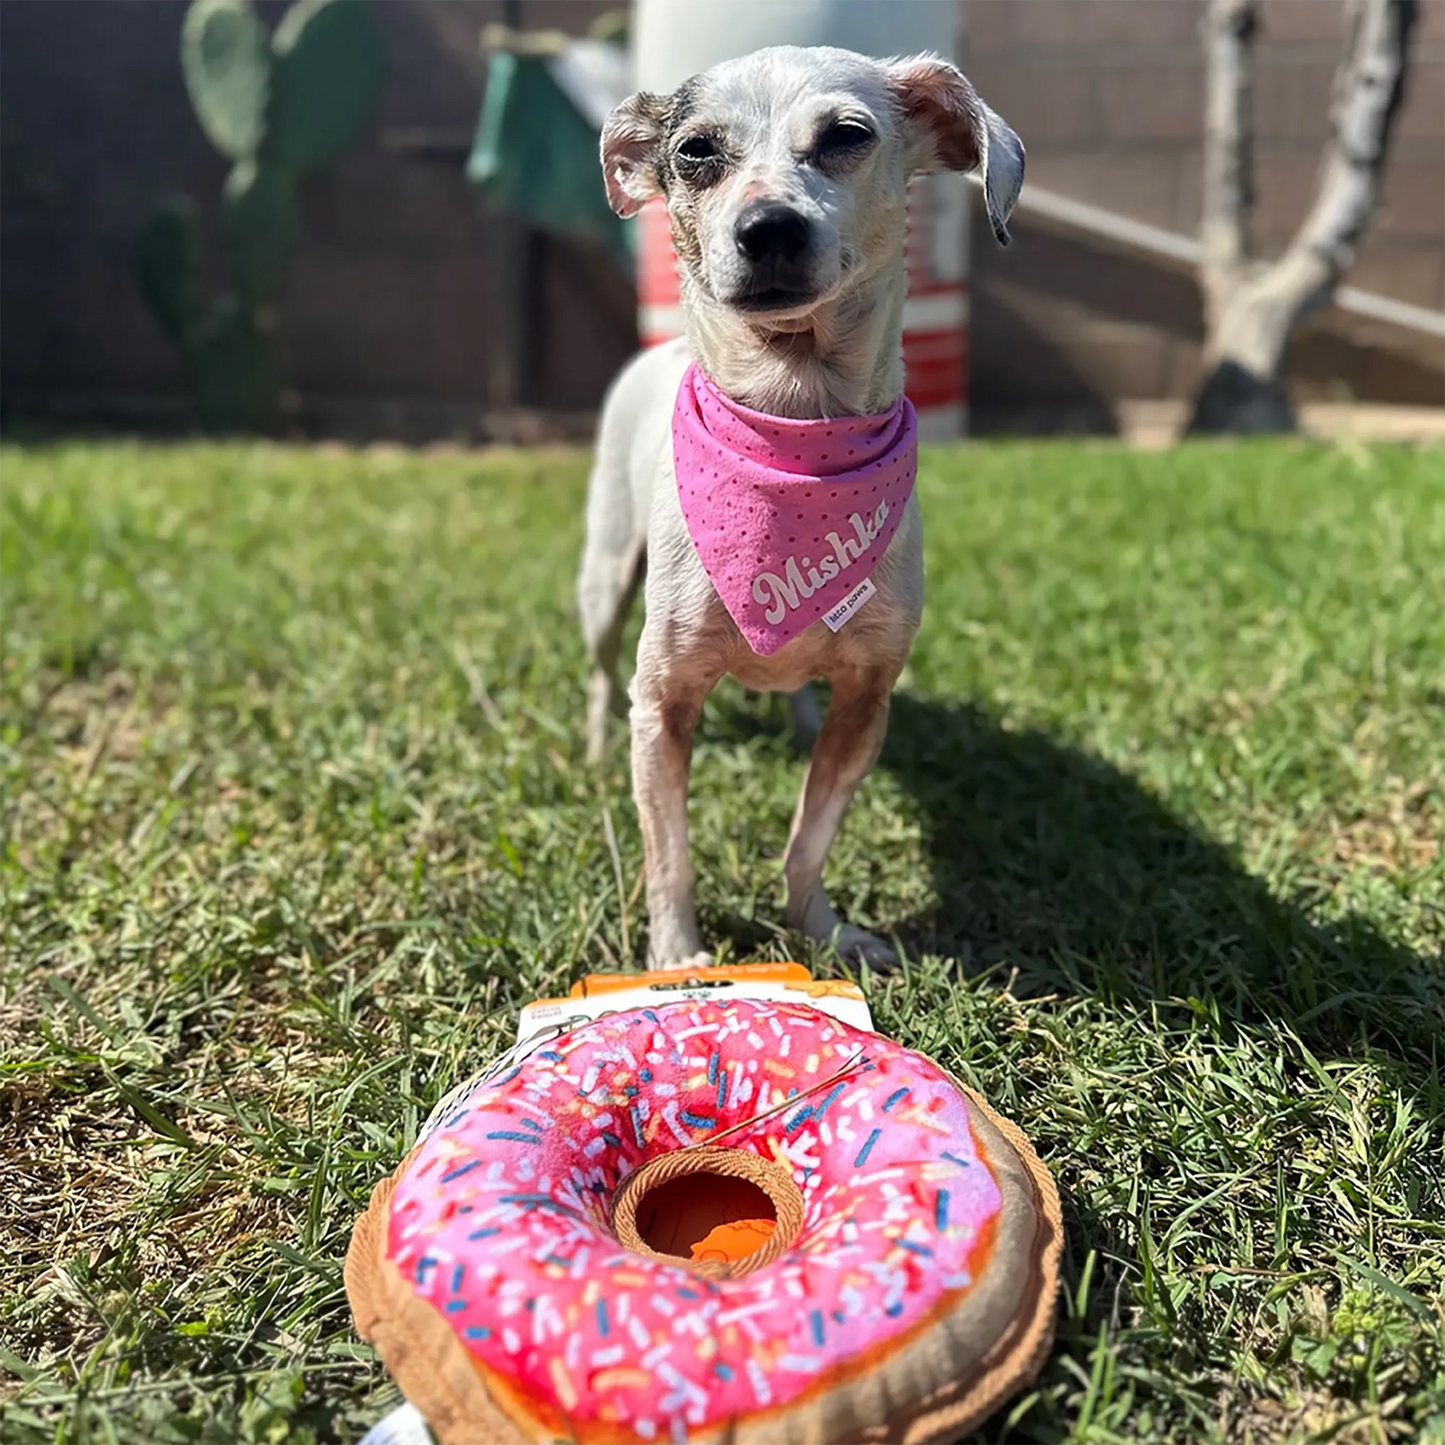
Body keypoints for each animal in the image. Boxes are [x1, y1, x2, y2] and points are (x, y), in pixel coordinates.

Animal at [578, 45, 1028, 971]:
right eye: (695, 151)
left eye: (846, 135)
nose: (768, 228)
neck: (791, 430)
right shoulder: (665, 699)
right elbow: (667, 852)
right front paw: (677, 959)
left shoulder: (866, 701)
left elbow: (807, 839)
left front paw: (820, 928)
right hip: (604, 580)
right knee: (601, 672)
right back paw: (599, 742)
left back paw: (793, 715)